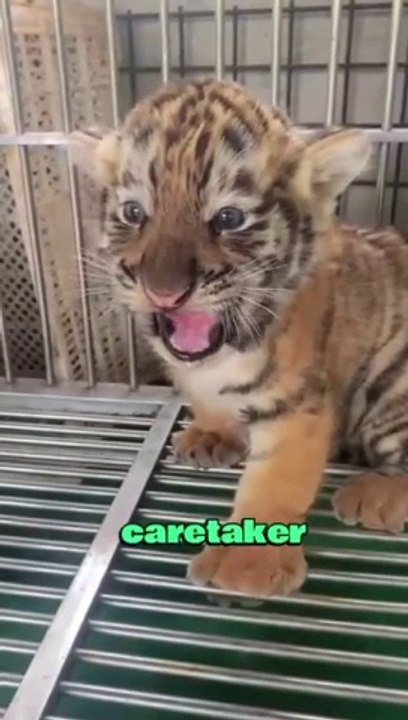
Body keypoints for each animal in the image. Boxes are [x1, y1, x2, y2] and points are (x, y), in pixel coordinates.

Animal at [71, 78, 408, 598]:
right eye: (134, 212)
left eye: (228, 219)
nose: (164, 293)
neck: (220, 355)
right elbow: (210, 403)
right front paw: (212, 435)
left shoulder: (296, 403)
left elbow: (276, 479)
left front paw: (246, 563)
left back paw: (376, 494)